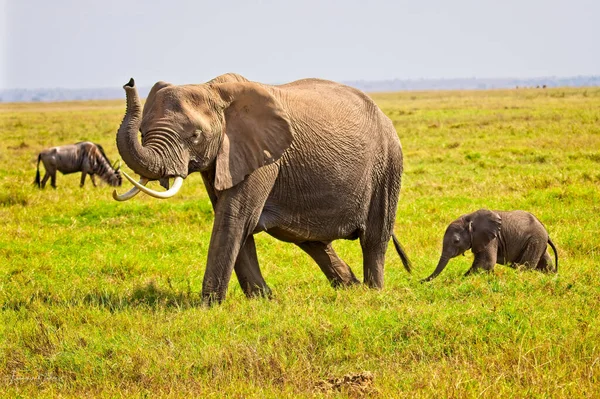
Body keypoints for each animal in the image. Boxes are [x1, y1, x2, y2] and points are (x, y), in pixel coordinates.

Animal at [112, 73, 410, 304]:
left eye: (195, 135)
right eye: (142, 133)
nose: (129, 82)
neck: (212, 89)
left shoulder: (261, 156)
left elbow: (234, 217)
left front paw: (207, 307)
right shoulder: (225, 158)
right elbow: (231, 217)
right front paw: (263, 299)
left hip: (387, 164)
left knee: (374, 239)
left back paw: (371, 293)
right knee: (311, 240)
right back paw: (351, 288)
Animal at [422, 209, 556, 282]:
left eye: (456, 241)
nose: (420, 281)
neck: (469, 218)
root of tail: (546, 232)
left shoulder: (492, 238)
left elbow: (486, 263)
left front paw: (458, 281)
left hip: (535, 240)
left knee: (525, 266)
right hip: (538, 242)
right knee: (546, 263)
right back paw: (552, 276)